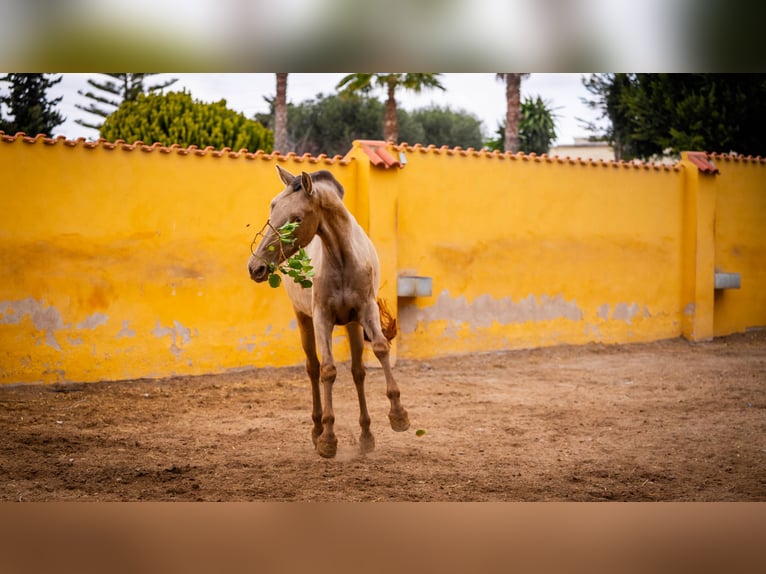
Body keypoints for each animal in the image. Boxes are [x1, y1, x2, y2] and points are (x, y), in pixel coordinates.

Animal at [248, 165, 410, 458]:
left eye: (296, 218)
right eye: (272, 210)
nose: (256, 267)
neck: (342, 259)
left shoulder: (366, 310)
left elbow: (380, 349)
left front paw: (398, 415)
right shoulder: (322, 318)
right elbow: (327, 370)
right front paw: (328, 438)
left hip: (353, 325)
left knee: (358, 372)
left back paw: (366, 435)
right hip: (303, 319)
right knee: (313, 368)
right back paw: (316, 430)